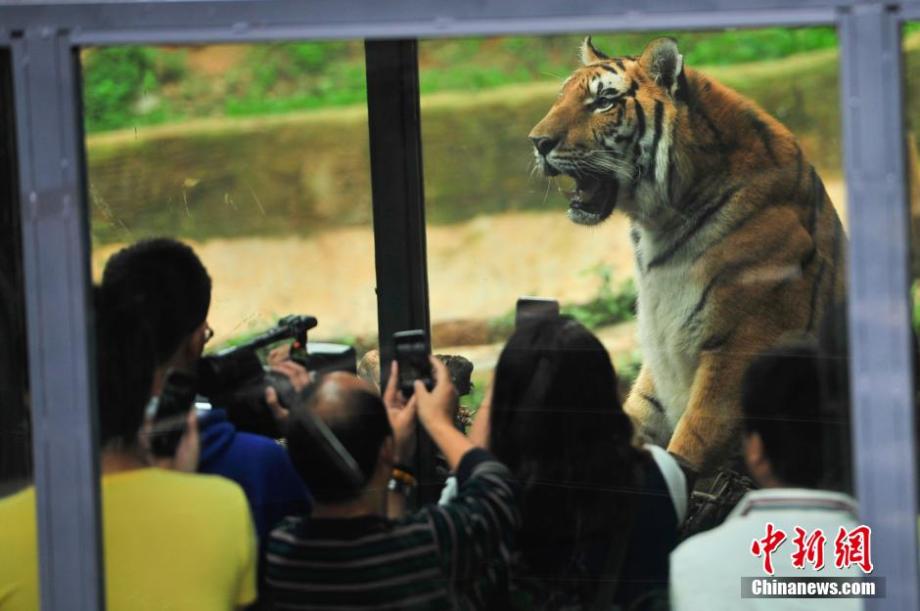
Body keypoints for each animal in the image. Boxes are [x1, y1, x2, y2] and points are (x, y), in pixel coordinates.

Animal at [528, 37, 844, 478]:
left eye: (604, 101)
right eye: (561, 98)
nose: (537, 142)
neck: (657, 228)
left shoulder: (742, 345)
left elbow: (694, 439)